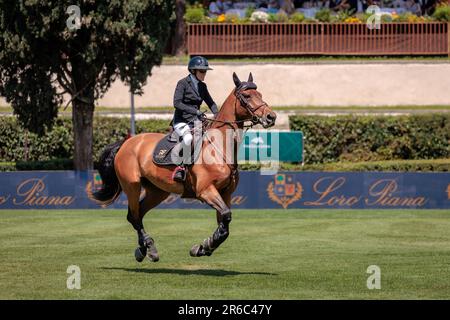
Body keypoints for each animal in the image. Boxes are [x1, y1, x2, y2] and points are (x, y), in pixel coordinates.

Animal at [88, 72, 276, 262]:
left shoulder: (225, 194)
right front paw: (204, 246)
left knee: (138, 214)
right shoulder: (206, 191)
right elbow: (226, 217)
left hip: (157, 192)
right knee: (133, 216)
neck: (219, 147)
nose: (271, 117)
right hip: (132, 186)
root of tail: (126, 143)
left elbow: (224, 225)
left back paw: (144, 249)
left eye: (260, 94)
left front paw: (202, 247)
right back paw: (148, 248)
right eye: (246, 96)